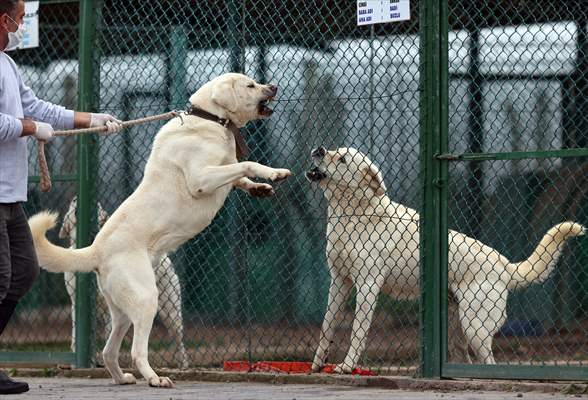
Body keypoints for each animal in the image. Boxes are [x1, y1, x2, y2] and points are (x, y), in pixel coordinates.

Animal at [59, 196, 188, 368]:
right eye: (72, 204)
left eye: (98, 206)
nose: (74, 198)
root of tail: (165, 259)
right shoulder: (78, 303)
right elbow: (77, 335)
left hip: (171, 313)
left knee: (178, 340)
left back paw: (183, 364)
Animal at [306, 146, 584, 372]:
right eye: (334, 149)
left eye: (342, 159)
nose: (318, 149)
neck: (352, 214)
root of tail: (503, 264)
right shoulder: (339, 283)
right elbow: (326, 328)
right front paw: (317, 364)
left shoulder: (367, 286)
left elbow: (357, 332)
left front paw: (347, 366)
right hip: (458, 330)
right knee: (466, 360)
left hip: (474, 328)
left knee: (489, 361)